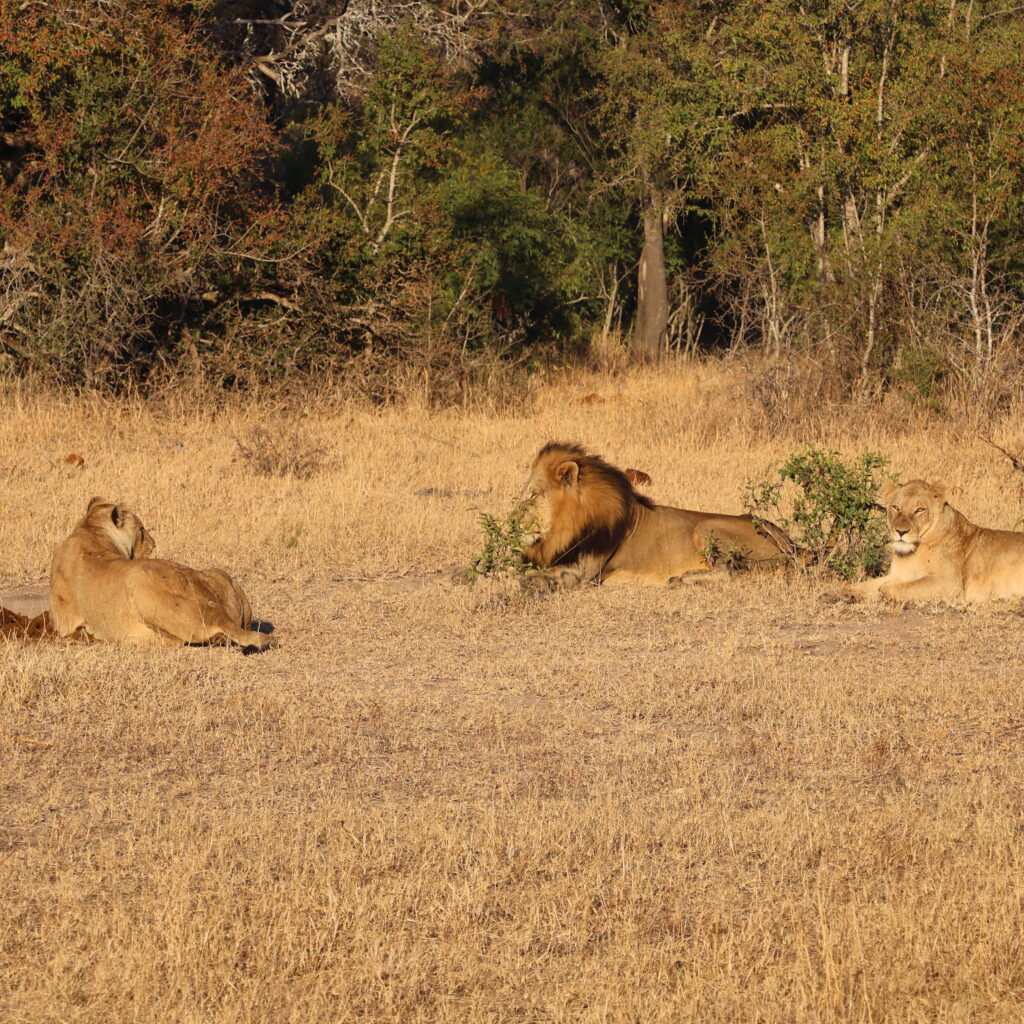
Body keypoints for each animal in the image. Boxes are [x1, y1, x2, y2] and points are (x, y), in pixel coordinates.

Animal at [50, 497, 275, 650]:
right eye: (142, 529)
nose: (153, 543)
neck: (91, 532)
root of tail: (219, 614)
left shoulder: (64, 624)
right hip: (218, 572)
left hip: (139, 579)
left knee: (178, 641)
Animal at [521, 442, 794, 588]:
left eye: (533, 497)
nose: (513, 522)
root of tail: (788, 542)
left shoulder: (583, 573)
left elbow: (533, 576)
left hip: (705, 528)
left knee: (729, 573)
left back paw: (682, 579)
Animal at [844, 478, 1024, 604]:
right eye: (896, 507)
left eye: (920, 510)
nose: (901, 532)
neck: (913, 552)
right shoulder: (898, 574)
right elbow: (862, 585)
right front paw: (841, 593)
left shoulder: (949, 584)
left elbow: (894, 588)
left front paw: (882, 590)